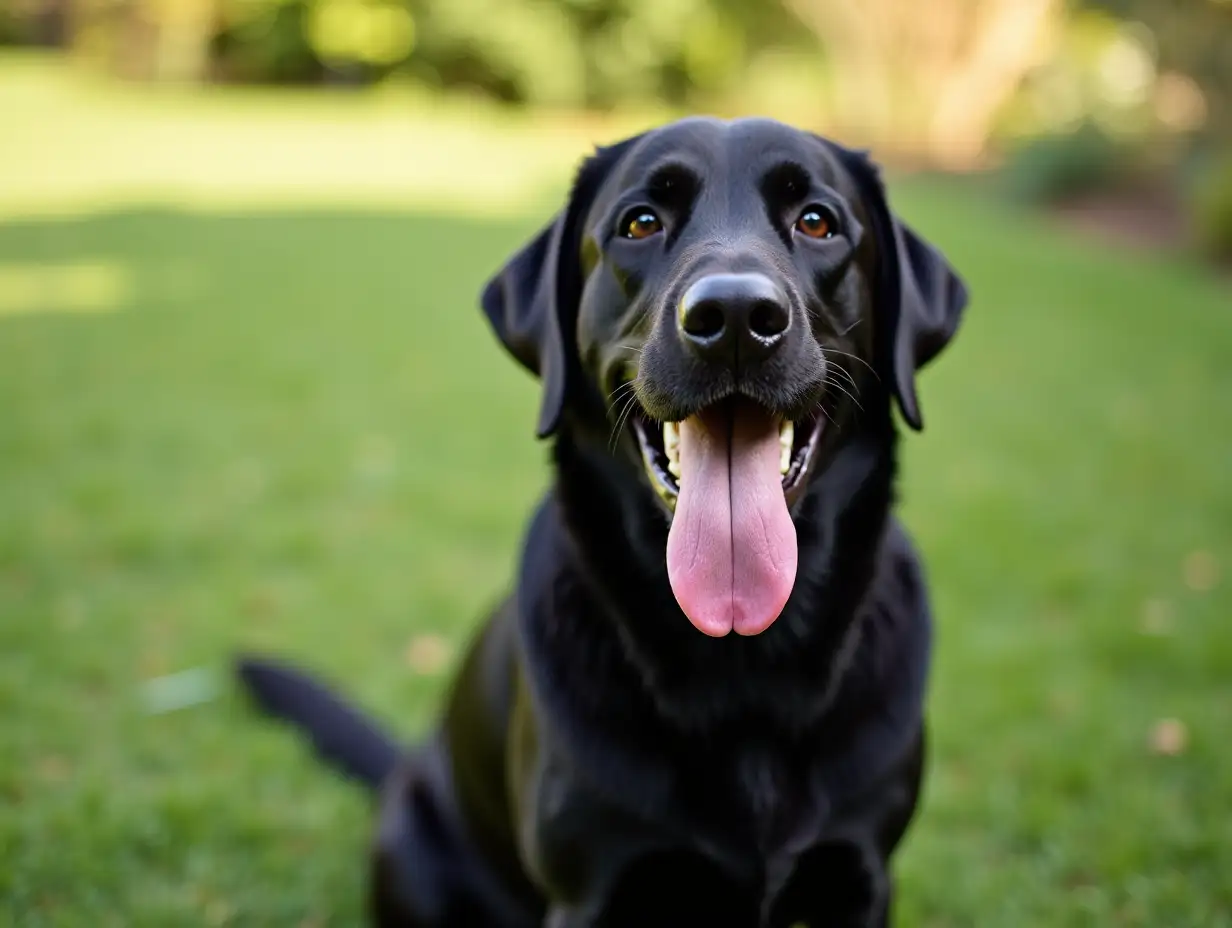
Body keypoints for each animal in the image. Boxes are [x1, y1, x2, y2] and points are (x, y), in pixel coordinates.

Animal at [235, 117, 970, 926]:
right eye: (640, 223)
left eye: (817, 221)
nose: (735, 317)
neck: (744, 659)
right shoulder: (590, 888)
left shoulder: (863, 873)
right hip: (409, 855)